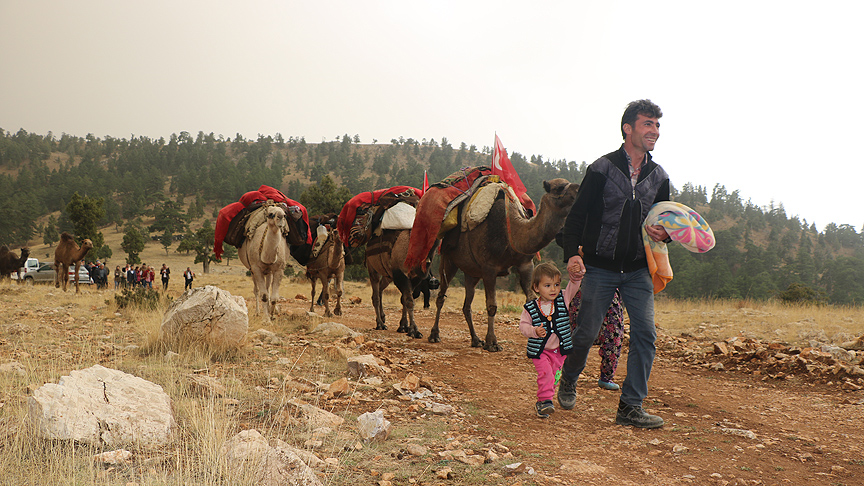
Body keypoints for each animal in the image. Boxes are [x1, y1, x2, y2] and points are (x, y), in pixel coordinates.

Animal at [428, 177, 576, 352]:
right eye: (559, 188)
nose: (578, 188)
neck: (513, 231)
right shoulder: (489, 268)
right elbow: (492, 305)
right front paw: (492, 342)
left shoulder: (526, 264)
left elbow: (531, 299)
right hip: (447, 259)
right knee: (441, 295)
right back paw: (434, 335)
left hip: (472, 272)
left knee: (467, 304)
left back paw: (475, 340)